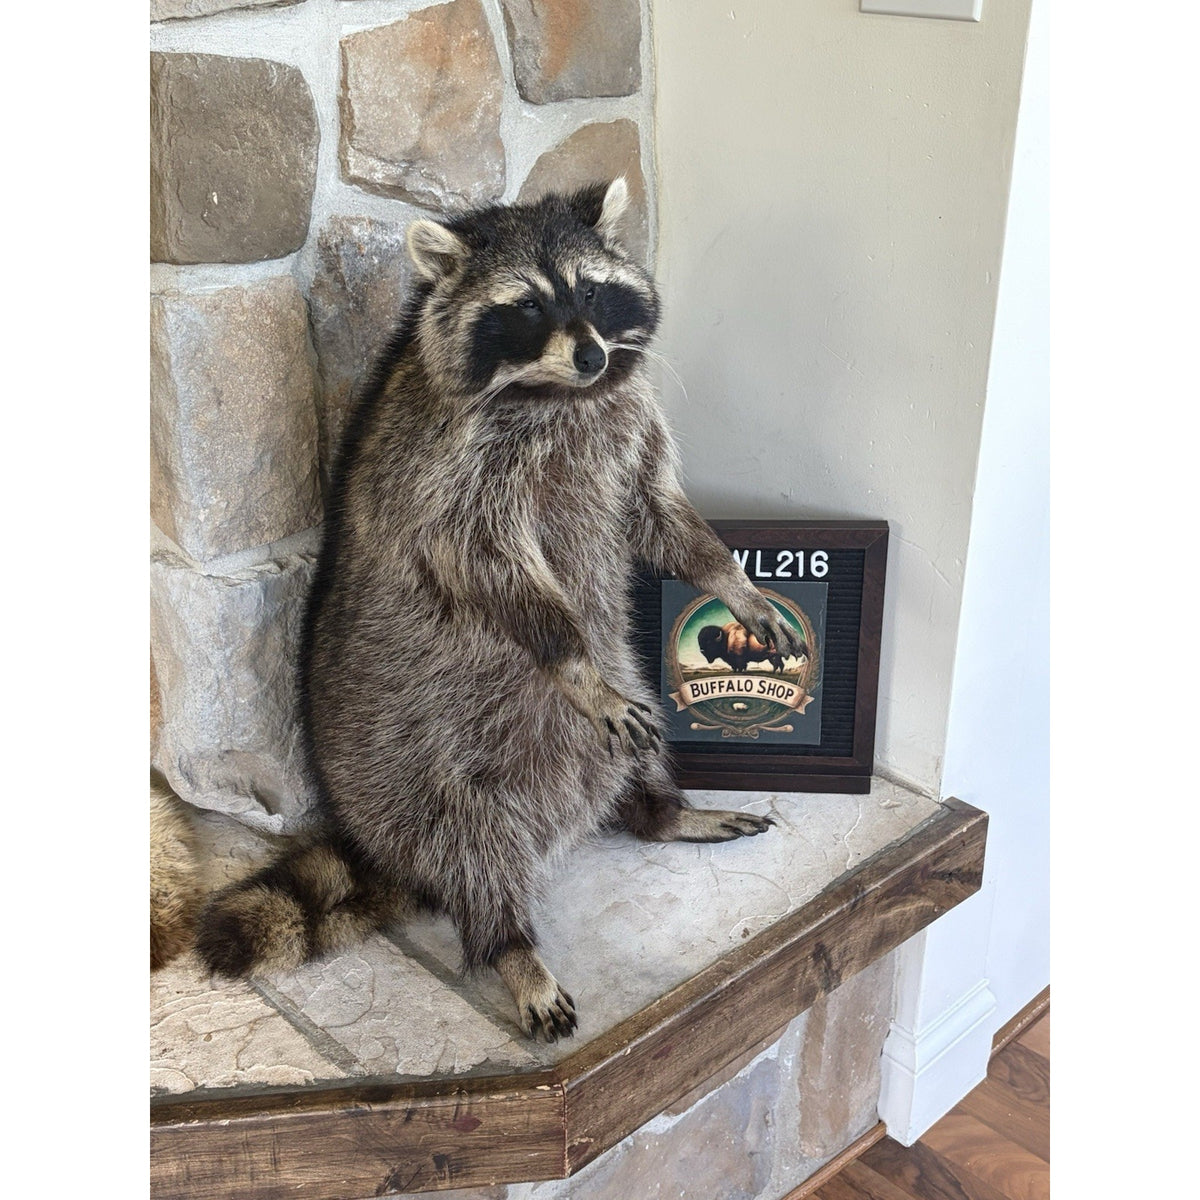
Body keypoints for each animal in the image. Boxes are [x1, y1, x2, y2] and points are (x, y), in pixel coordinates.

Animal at [195, 179, 804, 1041]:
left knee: (638, 736)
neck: (562, 390)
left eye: (590, 292)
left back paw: (658, 810)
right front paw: (575, 663)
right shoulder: (453, 472)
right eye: (527, 307)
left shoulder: (630, 425)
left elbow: (658, 513)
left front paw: (731, 579)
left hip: (607, 718)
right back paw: (511, 943)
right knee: (471, 850)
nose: (590, 355)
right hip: (421, 771)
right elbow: (487, 567)